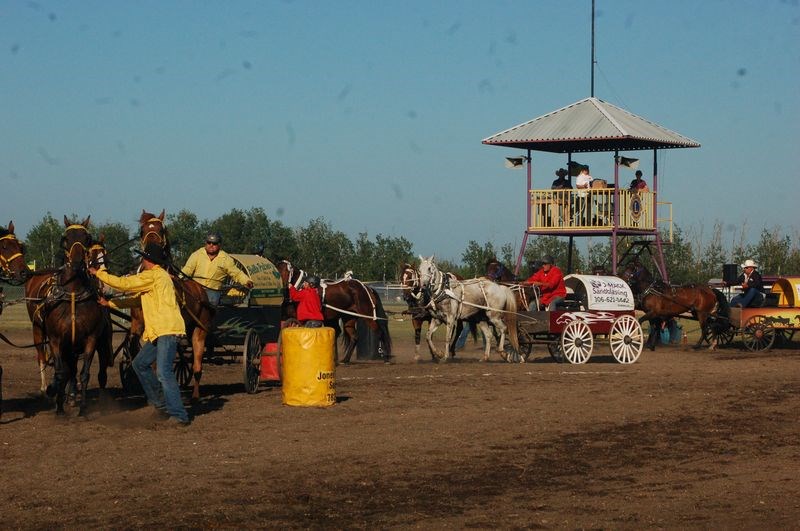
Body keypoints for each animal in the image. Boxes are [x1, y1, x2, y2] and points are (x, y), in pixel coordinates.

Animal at [136, 210, 214, 402]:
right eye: (142, 231)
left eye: (161, 230)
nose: (151, 252)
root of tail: (201, 291)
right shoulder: (145, 329)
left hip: (199, 330)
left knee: (197, 365)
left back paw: (195, 395)